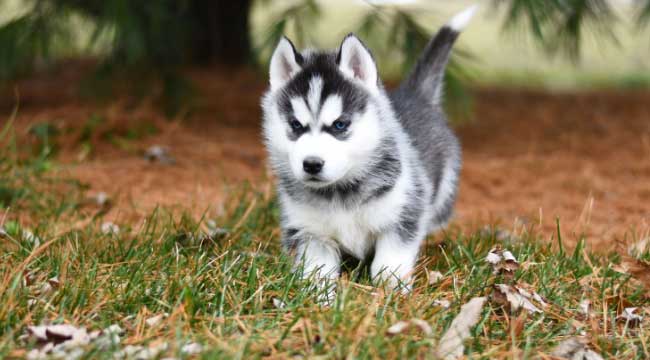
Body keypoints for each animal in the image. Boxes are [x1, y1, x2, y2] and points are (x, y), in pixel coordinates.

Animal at [260, 7, 476, 300]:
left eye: (340, 125)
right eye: (295, 125)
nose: (312, 164)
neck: (340, 193)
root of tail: (414, 95)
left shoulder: (402, 217)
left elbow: (389, 262)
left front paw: (391, 294)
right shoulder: (311, 233)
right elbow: (318, 270)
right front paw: (320, 300)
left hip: (442, 194)